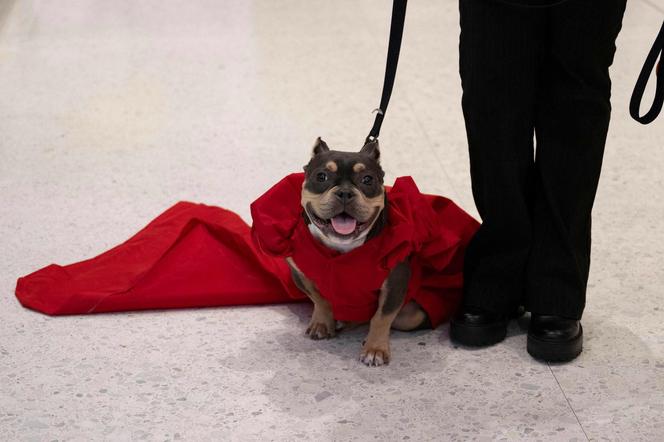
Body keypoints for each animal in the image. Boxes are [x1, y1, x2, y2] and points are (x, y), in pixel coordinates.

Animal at [286, 138, 430, 366]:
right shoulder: (300, 272)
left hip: (412, 316)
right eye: (321, 176)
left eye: (367, 179)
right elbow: (319, 298)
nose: (345, 192)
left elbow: (381, 317)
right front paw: (322, 322)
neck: (344, 248)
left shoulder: (396, 280)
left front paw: (375, 348)